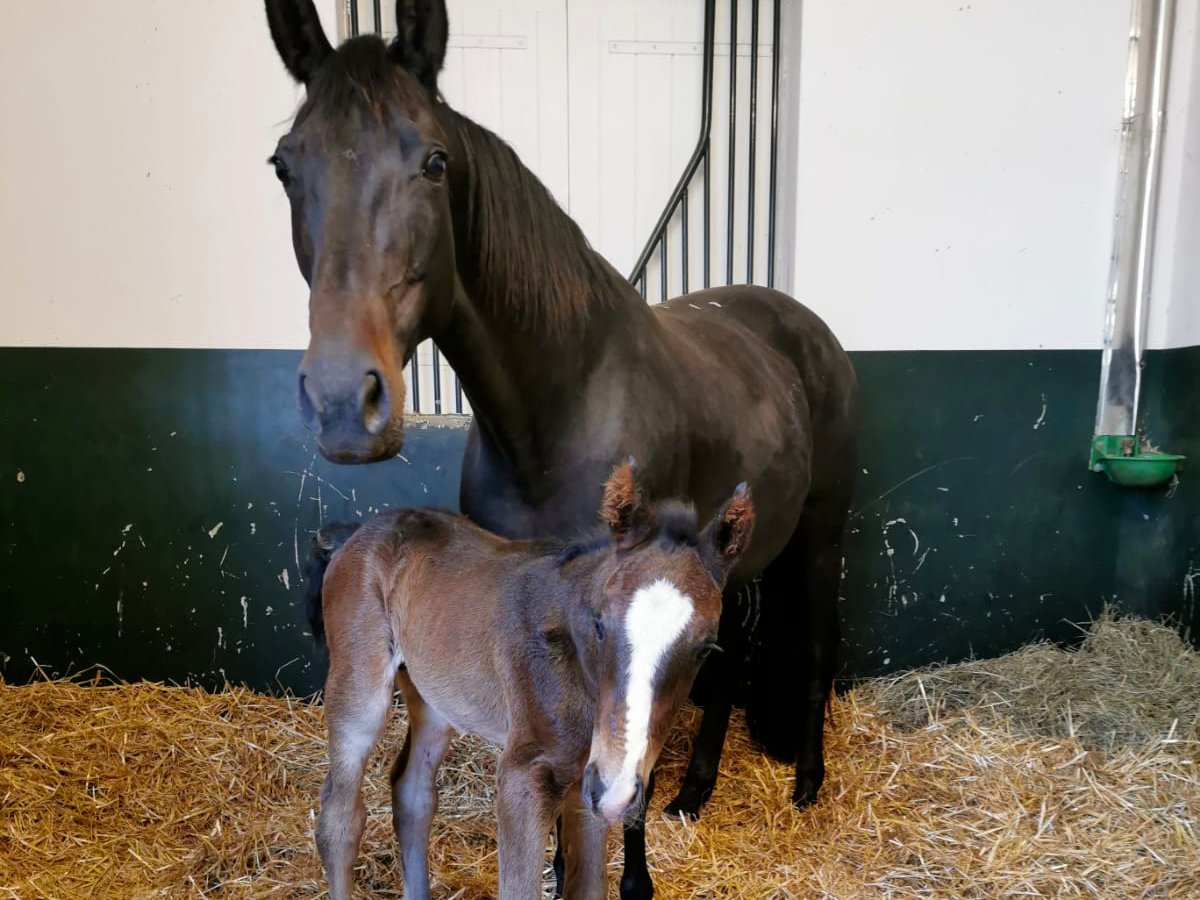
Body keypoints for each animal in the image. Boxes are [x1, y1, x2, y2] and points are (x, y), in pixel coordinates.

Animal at [306, 462, 754, 899]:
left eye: (706, 650)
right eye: (600, 624)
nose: (618, 789)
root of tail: (359, 531)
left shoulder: (588, 788)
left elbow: (587, 888)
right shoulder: (526, 776)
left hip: (433, 697)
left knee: (412, 791)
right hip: (359, 688)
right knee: (338, 819)